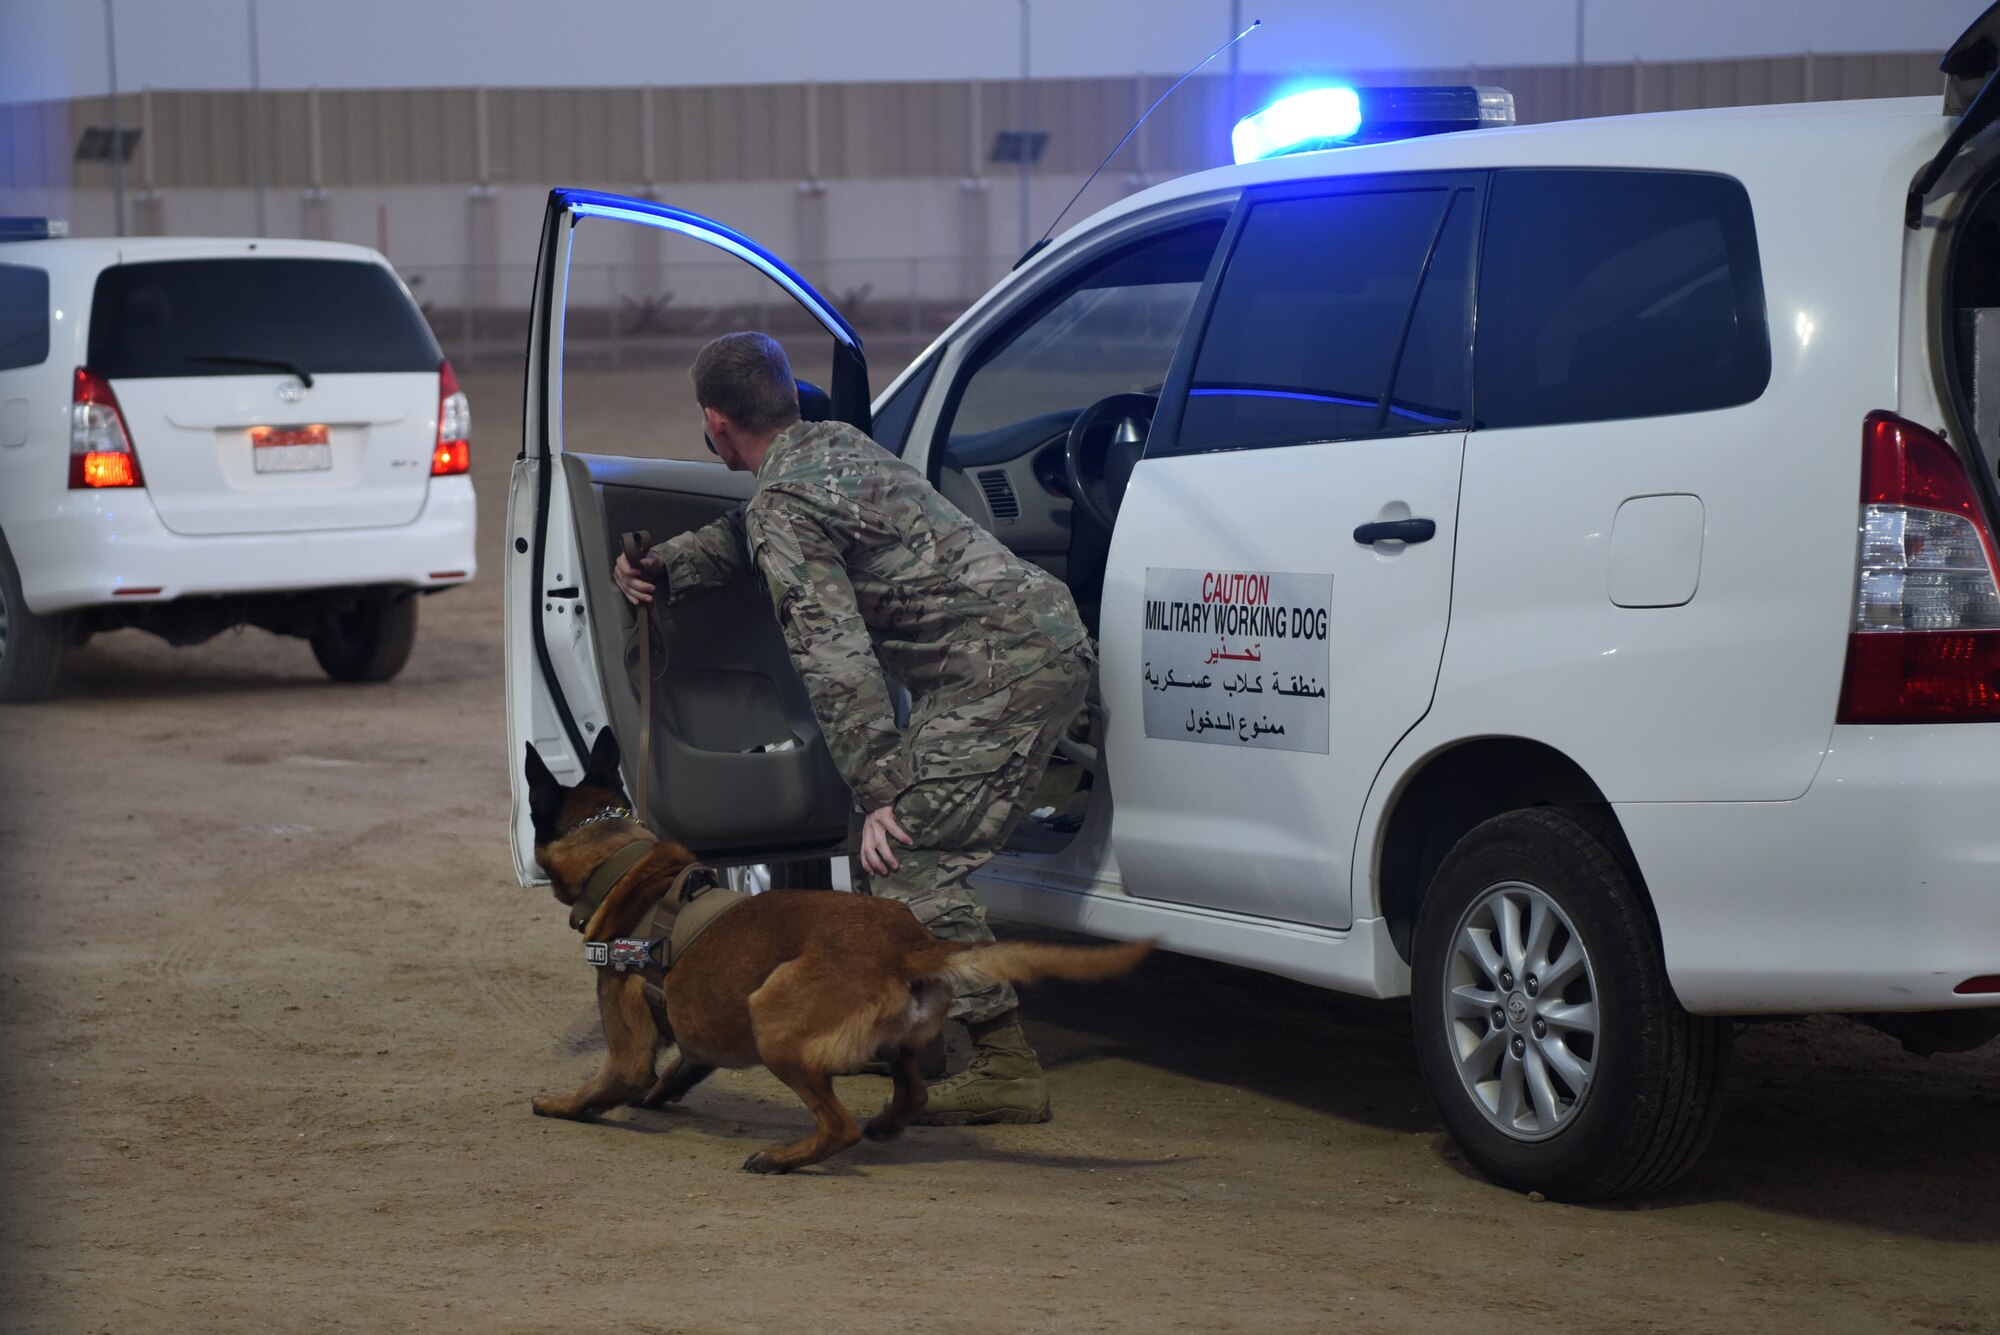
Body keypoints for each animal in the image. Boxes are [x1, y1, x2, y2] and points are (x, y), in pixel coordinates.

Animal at [528, 723, 1160, 1175]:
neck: (623, 862)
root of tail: (911, 945)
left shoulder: (629, 1050)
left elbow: (604, 1085)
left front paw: (558, 1104)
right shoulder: (695, 1035)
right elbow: (678, 1070)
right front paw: (660, 1096)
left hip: (772, 1019)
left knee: (839, 1127)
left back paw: (783, 1158)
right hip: (893, 1041)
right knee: (913, 1093)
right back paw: (884, 1124)